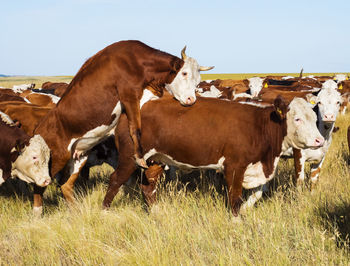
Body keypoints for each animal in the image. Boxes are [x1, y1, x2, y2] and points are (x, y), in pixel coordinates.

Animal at [102, 94, 324, 216]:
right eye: (297, 119)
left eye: (314, 118)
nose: (319, 141)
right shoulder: (234, 166)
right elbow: (235, 196)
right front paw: (236, 221)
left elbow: (258, 193)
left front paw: (245, 210)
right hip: (130, 157)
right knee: (115, 180)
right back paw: (104, 212)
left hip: (156, 159)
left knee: (148, 186)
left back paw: (156, 212)